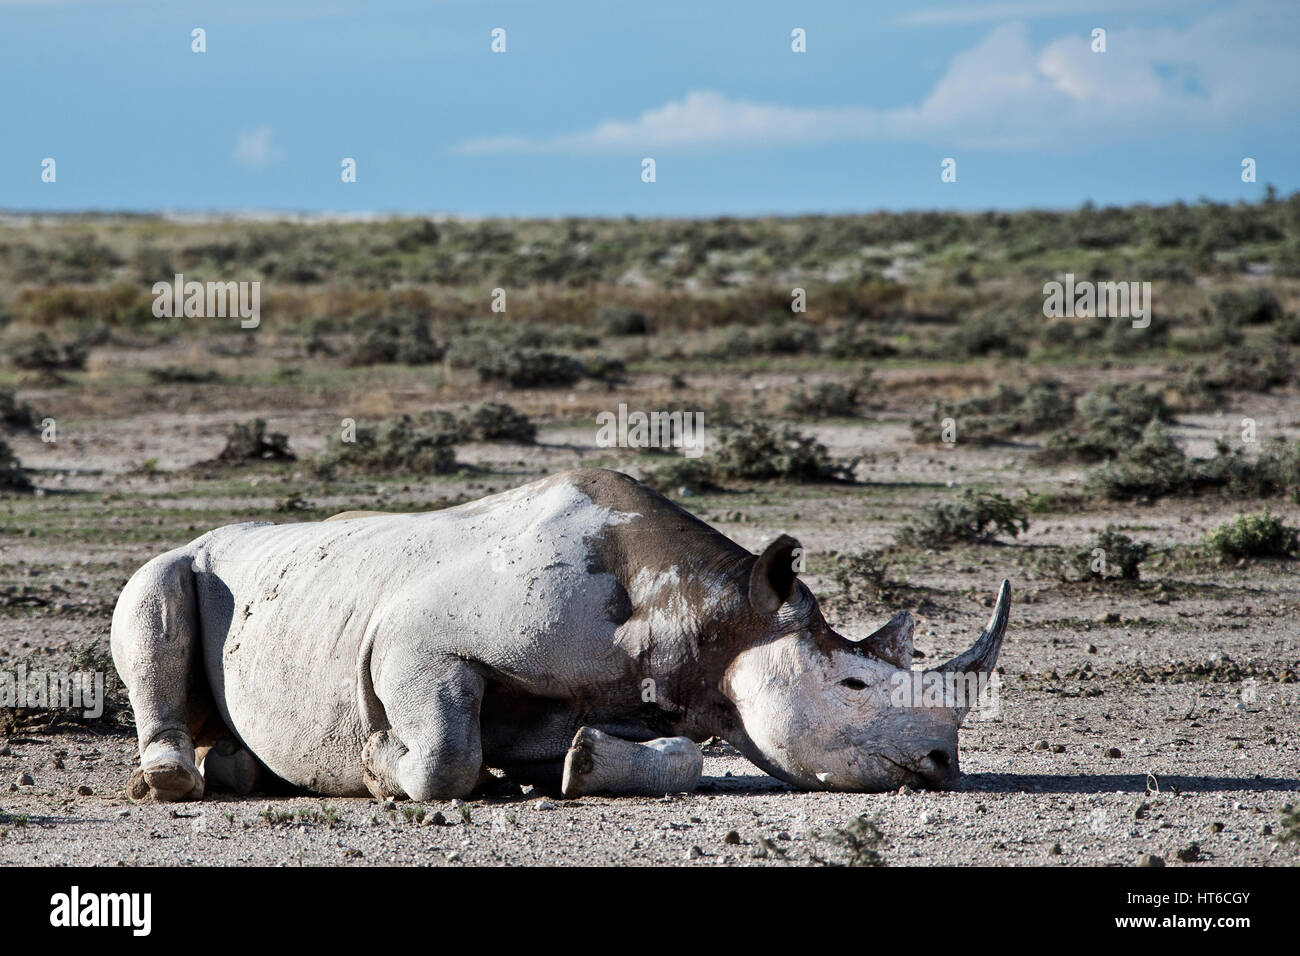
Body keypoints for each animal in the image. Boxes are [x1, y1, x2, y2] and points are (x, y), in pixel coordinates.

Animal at [111, 468, 1008, 806]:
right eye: (852, 686)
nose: (943, 763)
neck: (711, 614)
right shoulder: (416, 640)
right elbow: (446, 753)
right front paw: (375, 764)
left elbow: (675, 757)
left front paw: (578, 768)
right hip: (188, 558)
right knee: (152, 604)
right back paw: (174, 783)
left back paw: (240, 771)